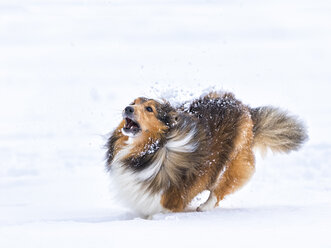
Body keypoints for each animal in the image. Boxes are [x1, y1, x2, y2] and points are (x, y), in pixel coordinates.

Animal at [106, 91, 308, 217]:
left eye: (149, 109)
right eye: (133, 103)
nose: (127, 108)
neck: (155, 148)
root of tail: (246, 110)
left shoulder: (168, 199)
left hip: (233, 161)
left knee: (221, 189)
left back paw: (204, 208)